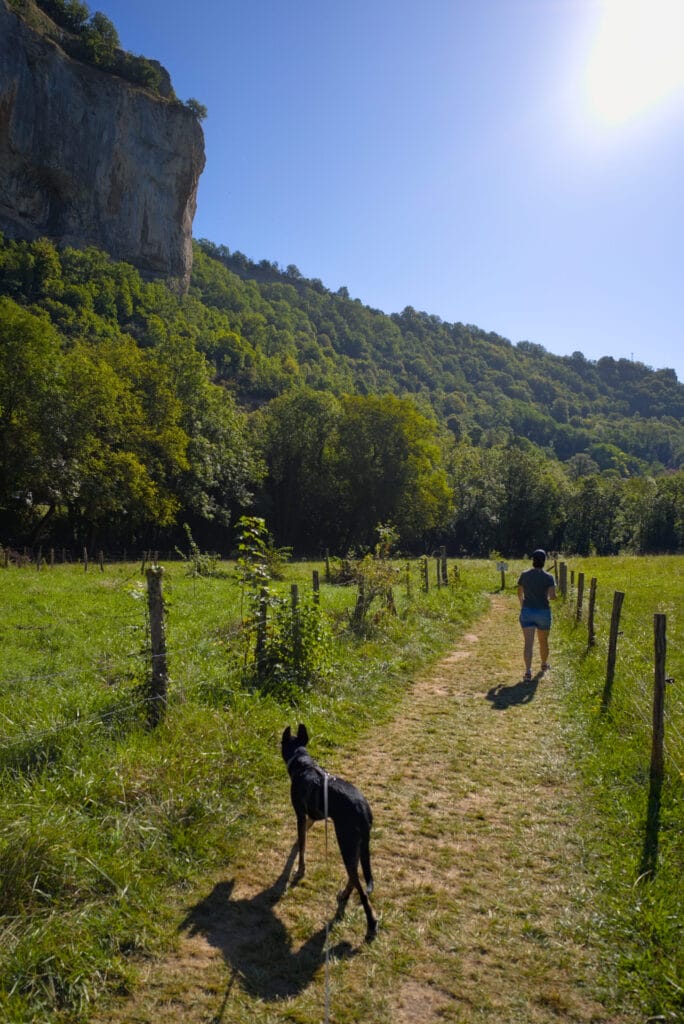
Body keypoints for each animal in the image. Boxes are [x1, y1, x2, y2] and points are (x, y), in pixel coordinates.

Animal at [282, 724, 378, 937]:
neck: (303, 764)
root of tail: (363, 810)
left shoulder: (300, 814)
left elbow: (302, 848)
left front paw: (299, 871)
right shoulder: (311, 817)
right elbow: (302, 838)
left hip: (346, 843)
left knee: (361, 888)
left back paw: (371, 922)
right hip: (355, 847)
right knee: (354, 876)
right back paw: (344, 894)